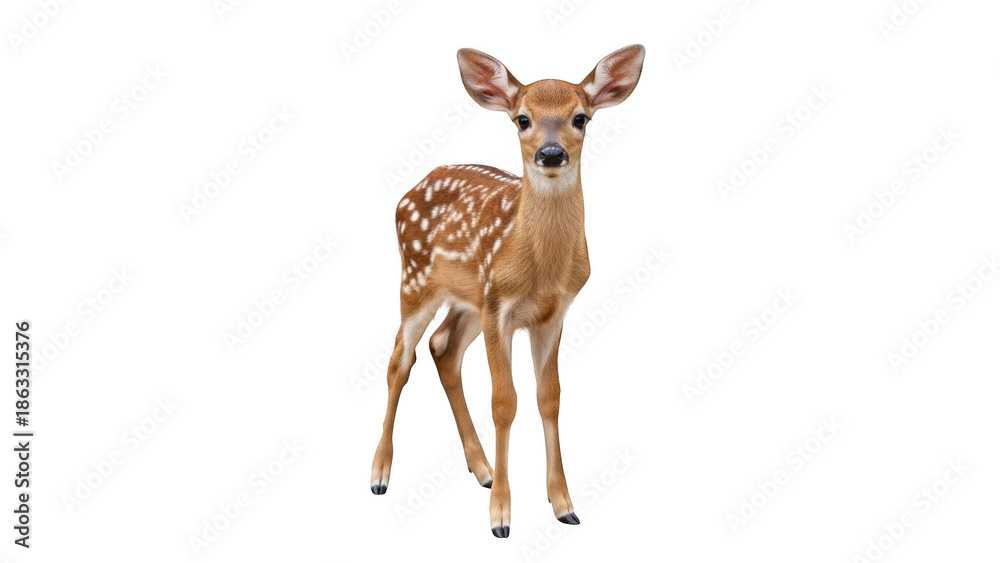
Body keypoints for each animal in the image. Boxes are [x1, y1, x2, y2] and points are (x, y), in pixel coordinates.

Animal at [370, 44, 645, 538]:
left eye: (580, 118)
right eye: (522, 119)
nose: (551, 153)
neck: (541, 269)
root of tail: (409, 191)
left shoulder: (549, 314)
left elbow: (549, 398)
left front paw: (563, 504)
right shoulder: (500, 308)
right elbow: (504, 402)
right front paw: (500, 516)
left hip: (469, 301)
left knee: (442, 347)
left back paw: (481, 469)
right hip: (416, 280)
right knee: (400, 359)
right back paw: (380, 475)